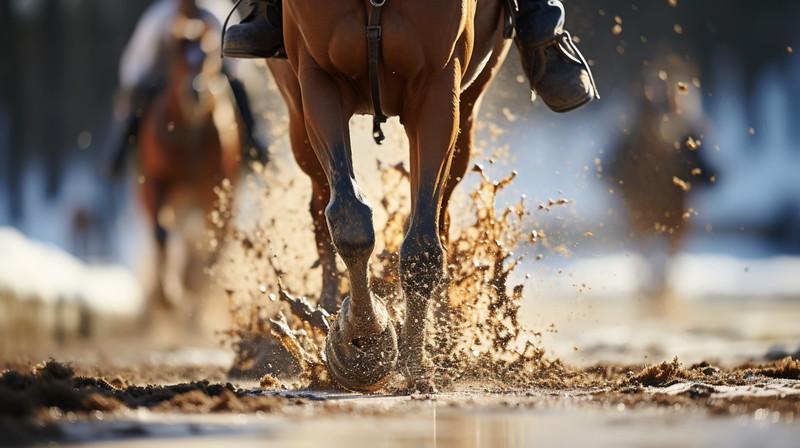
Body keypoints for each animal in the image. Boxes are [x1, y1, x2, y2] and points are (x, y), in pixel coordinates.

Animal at [138, 1, 244, 328]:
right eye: (175, 53)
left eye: (208, 55)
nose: (194, 91)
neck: (188, 131)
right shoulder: (154, 183)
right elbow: (160, 232)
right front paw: (165, 296)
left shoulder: (215, 187)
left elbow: (210, 240)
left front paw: (189, 283)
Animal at [266, 0, 510, 390]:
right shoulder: (318, 78)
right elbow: (349, 219)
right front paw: (363, 339)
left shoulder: (439, 89)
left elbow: (423, 248)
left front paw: (413, 363)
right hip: (296, 108)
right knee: (321, 202)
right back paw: (325, 306)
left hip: (470, 98)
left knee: (439, 210)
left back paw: (443, 336)